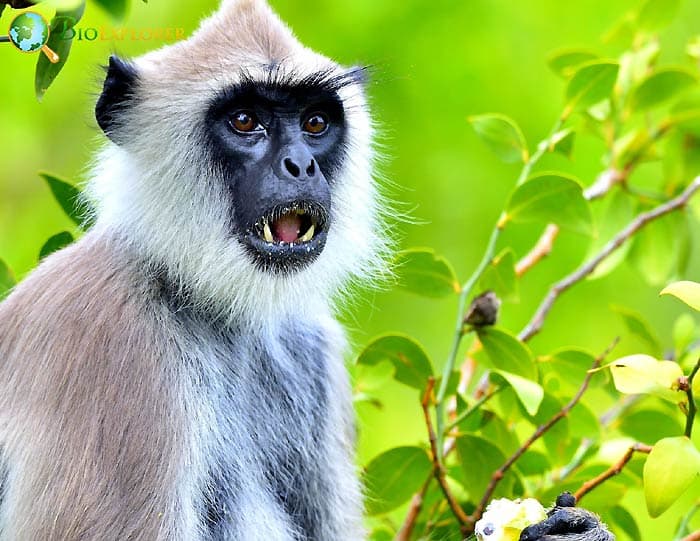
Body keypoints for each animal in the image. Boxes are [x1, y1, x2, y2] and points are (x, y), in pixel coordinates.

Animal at [0, 1, 612, 540]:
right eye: (245, 120)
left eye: (315, 122)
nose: (301, 164)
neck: (204, 302)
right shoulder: (109, 343)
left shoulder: (309, 346)